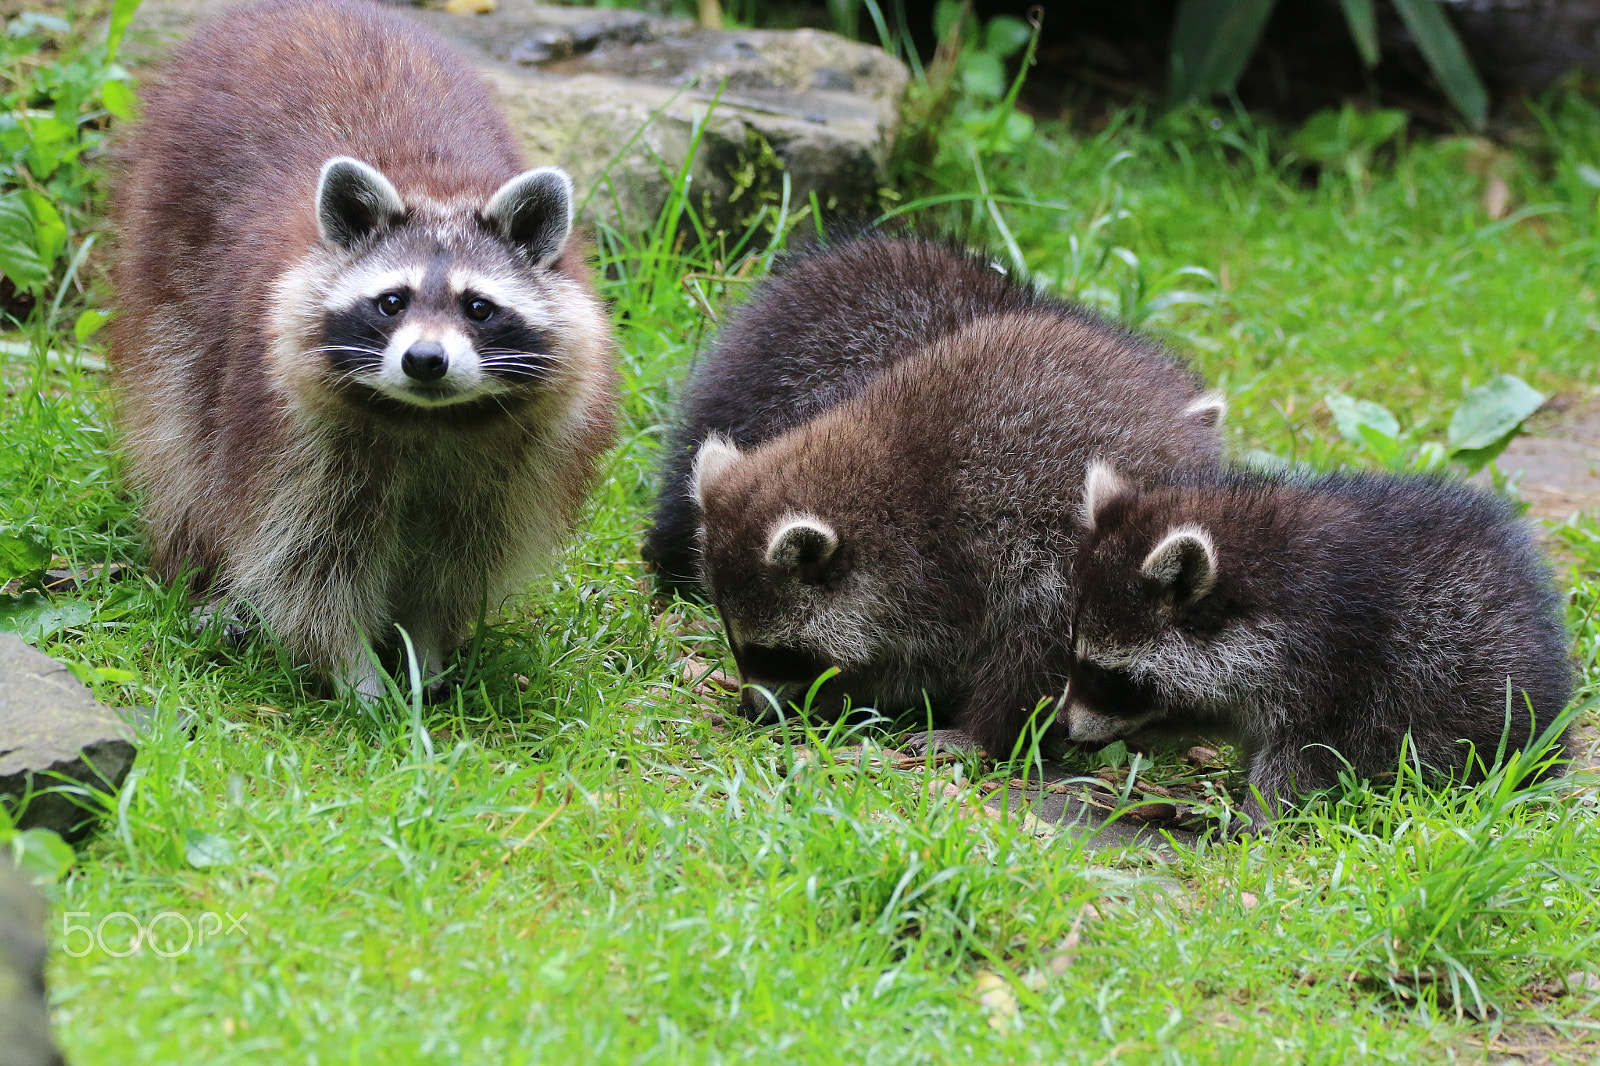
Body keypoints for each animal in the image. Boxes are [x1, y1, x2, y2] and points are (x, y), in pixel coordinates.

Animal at [111, 0, 617, 698]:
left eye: (478, 308)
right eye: (392, 302)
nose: (425, 361)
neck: (429, 420)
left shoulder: (513, 460)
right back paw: (198, 570)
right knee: (182, 430)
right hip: (170, 247)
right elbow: (307, 562)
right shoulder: (294, 438)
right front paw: (354, 673)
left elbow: (457, 563)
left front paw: (424, 650)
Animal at [690, 308, 1226, 758]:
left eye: (778, 654)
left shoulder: (952, 563)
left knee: (1037, 642)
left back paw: (983, 731)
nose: (752, 712)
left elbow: (950, 657)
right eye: (736, 642)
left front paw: (844, 695)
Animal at [1065, 464, 1574, 830]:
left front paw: (1258, 818)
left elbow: (1304, 755)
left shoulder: (1336, 665)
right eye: (1077, 658)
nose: (1063, 726)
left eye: (1108, 676)